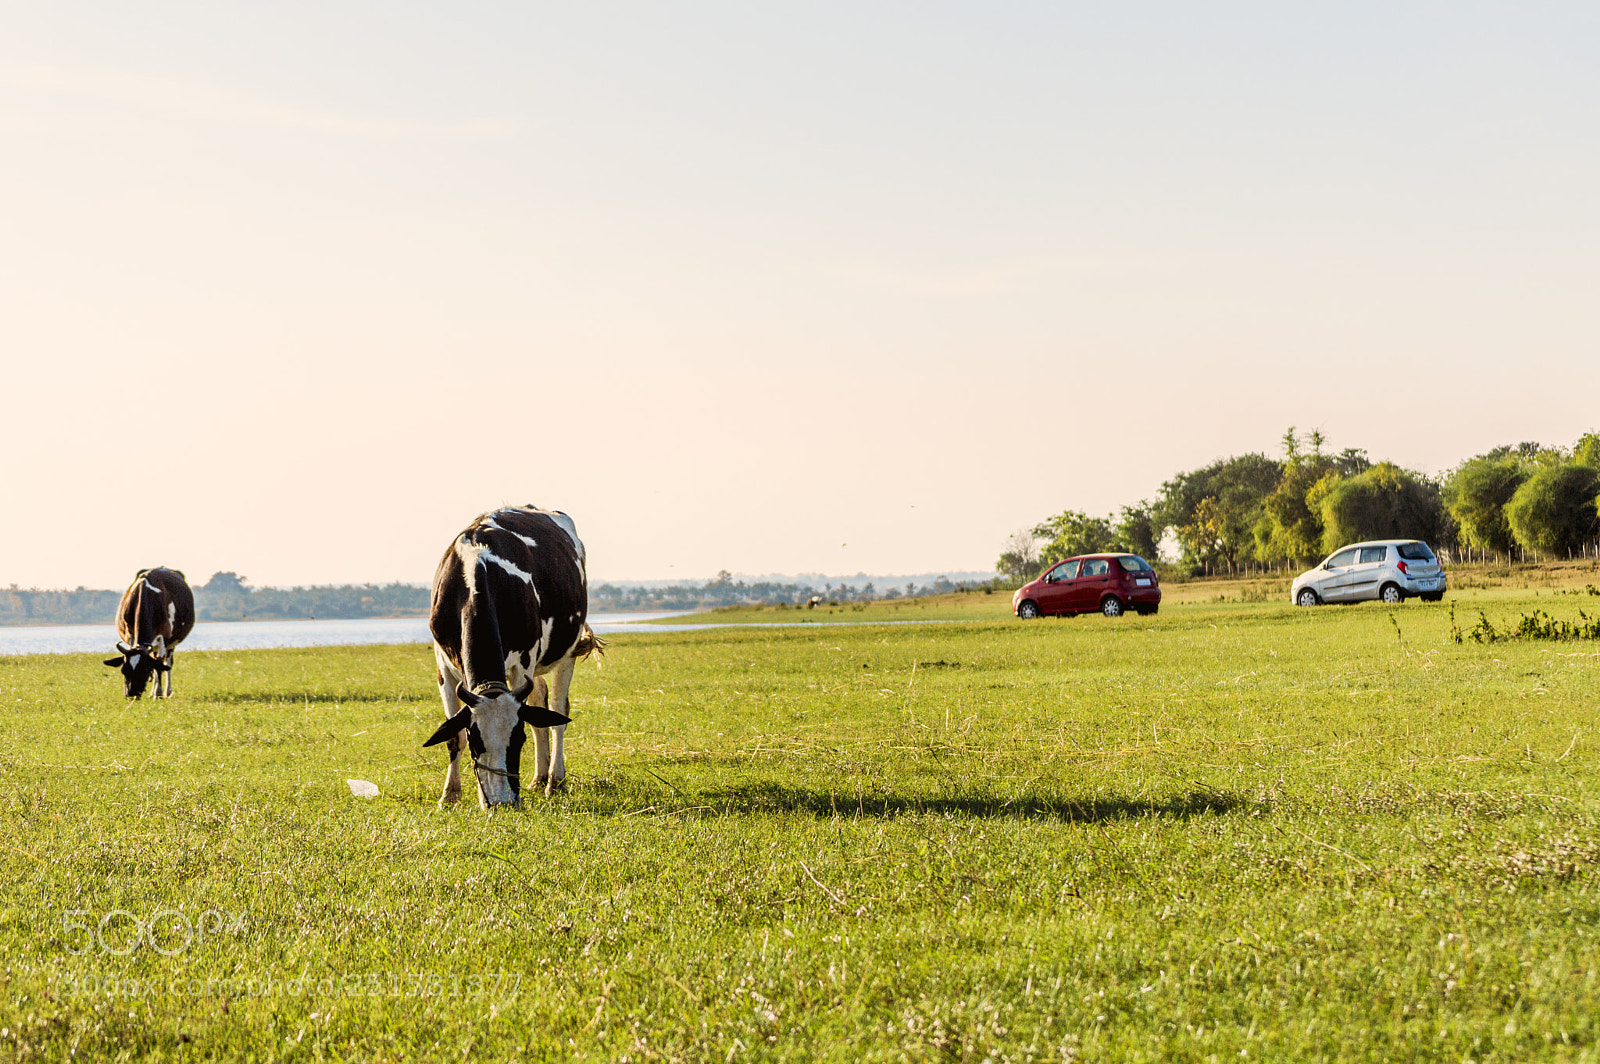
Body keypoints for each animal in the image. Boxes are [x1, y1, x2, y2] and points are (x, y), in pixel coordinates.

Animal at [103, 567, 195, 698]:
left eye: (144, 670)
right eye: (123, 670)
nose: (131, 693)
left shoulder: (163, 637)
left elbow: (159, 665)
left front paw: (159, 694)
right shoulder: (129, 634)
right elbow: (154, 664)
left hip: (171, 643)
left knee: (167, 662)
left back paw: (167, 691)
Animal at [423, 506, 603, 808]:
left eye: (518, 739)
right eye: (476, 740)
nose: (502, 802)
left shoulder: (523, 662)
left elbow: (537, 717)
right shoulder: (443, 665)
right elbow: (453, 735)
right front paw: (450, 795)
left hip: (565, 651)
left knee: (557, 711)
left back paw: (554, 781)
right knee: (540, 702)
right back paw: (539, 778)